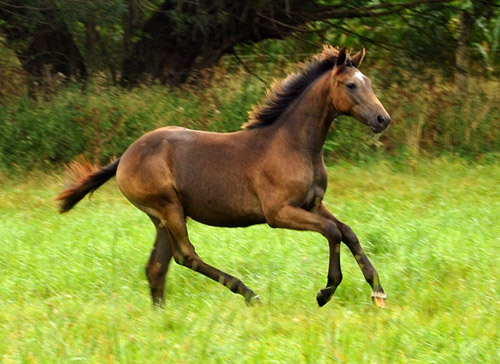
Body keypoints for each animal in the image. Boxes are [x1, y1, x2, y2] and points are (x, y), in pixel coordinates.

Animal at [54, 45, 390, 308]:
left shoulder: (313, 204)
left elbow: (348, 232)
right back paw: (248, 293)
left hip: (160, 217)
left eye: (370, 82)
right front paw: (325, 292)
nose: (382, 119)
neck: (293, 144)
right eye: (351, 86)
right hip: (168, 208)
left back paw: (160, 314)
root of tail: (124, 156)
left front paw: (378, 292)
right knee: (185, 256)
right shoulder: (278, 213)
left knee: (157, 266)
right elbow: (333, 233)